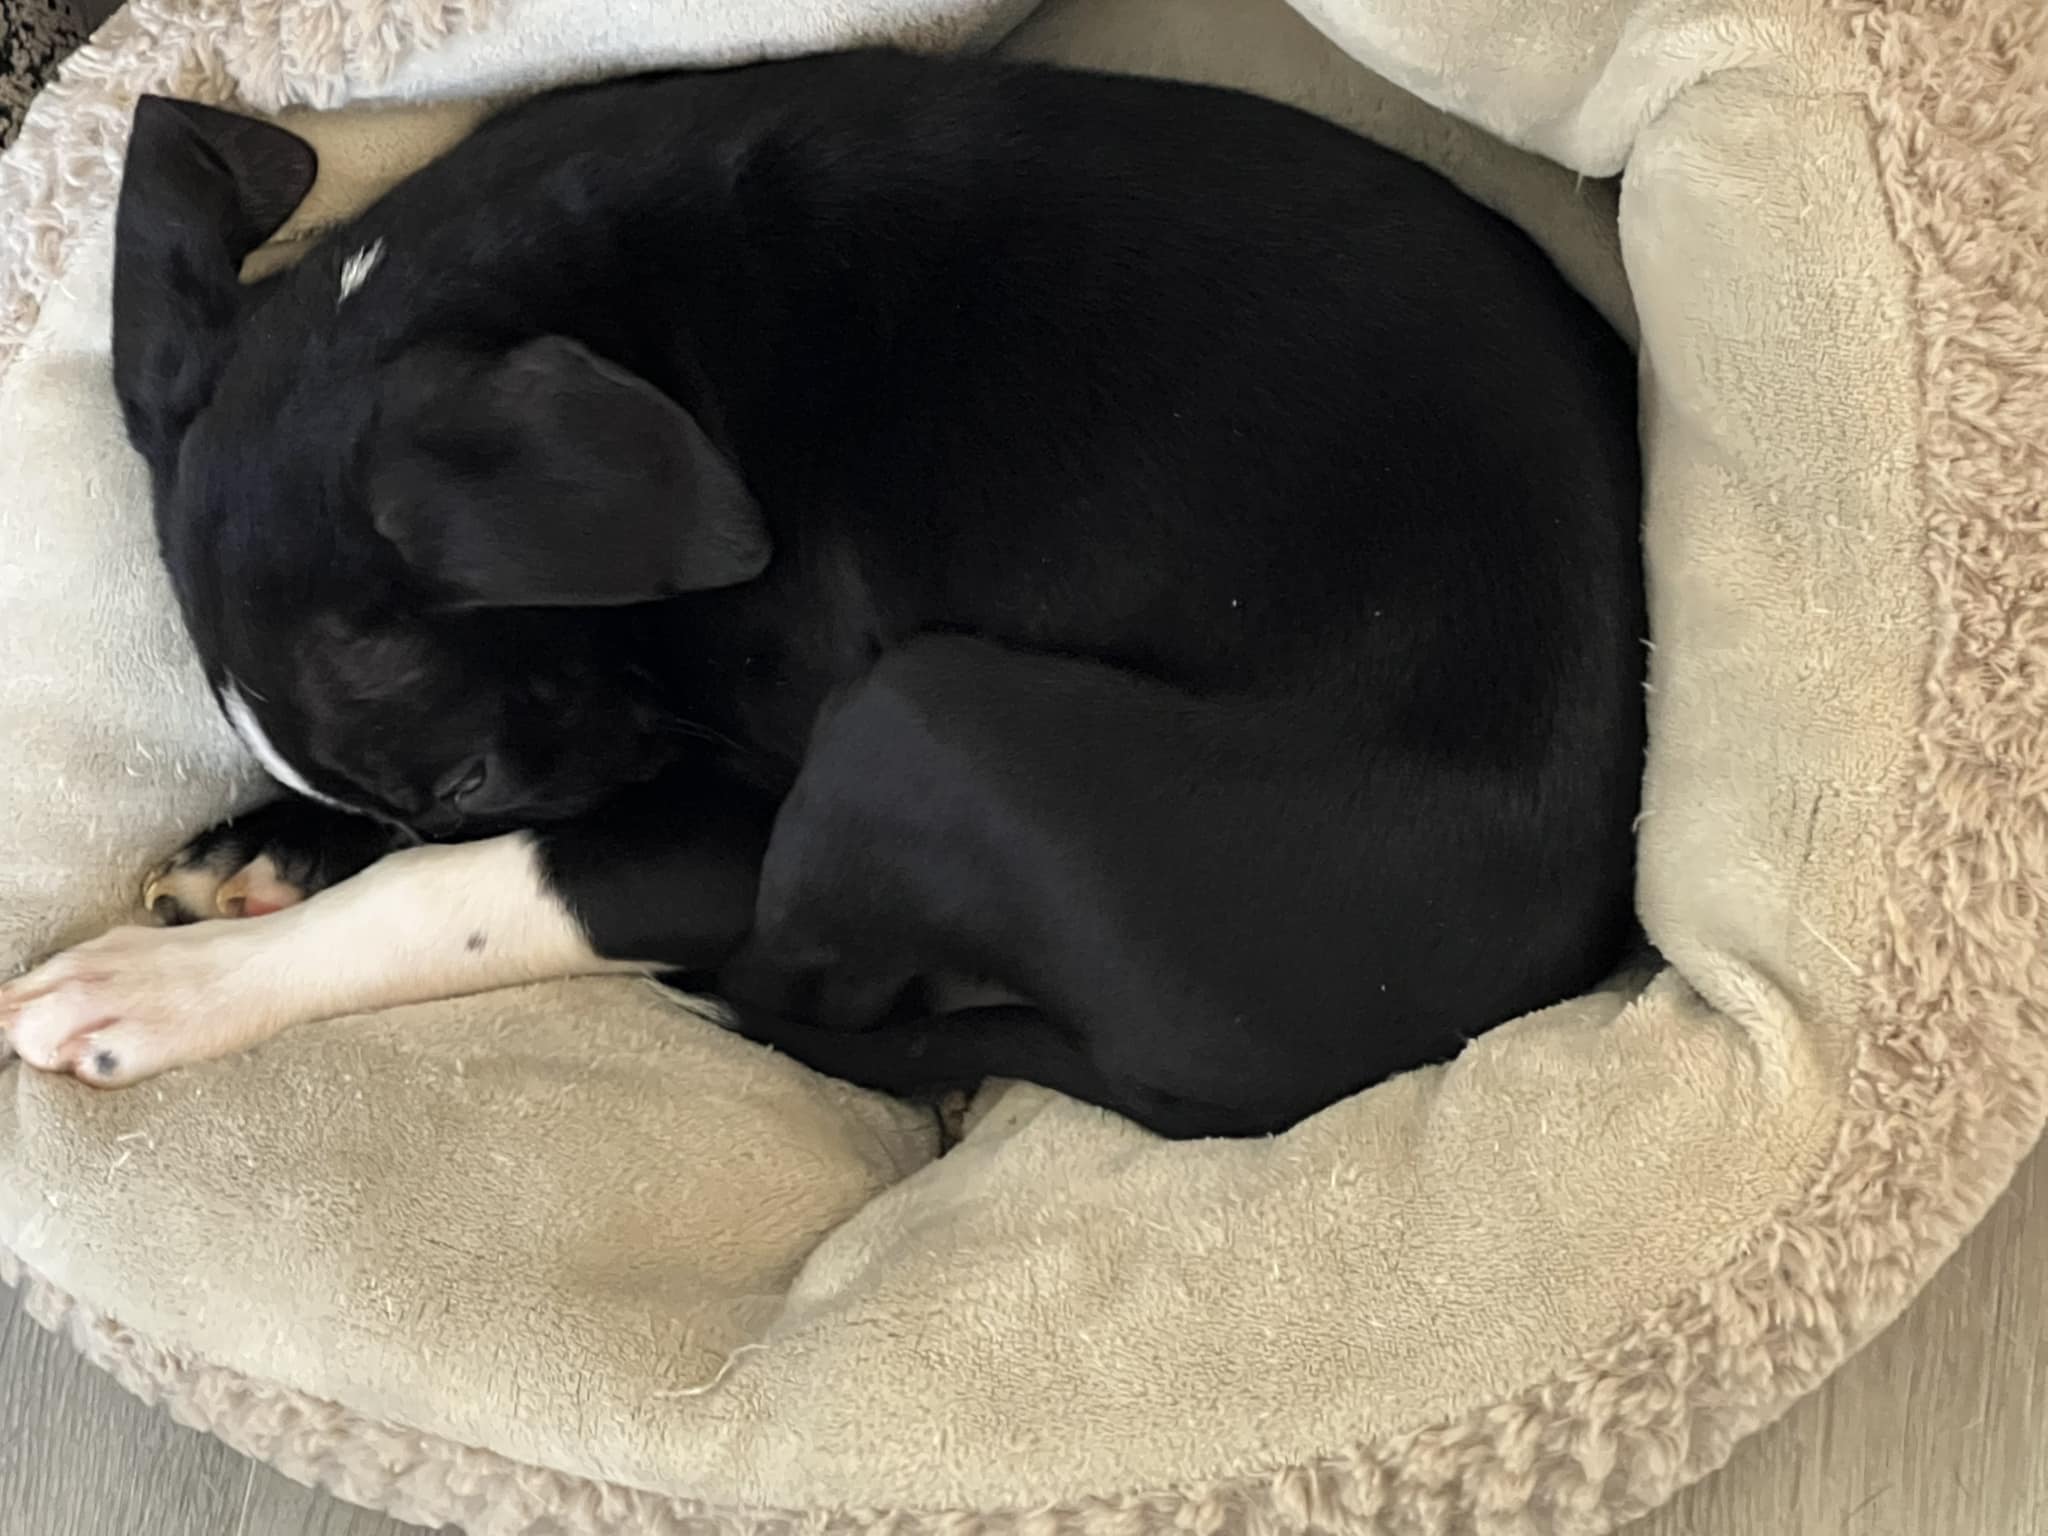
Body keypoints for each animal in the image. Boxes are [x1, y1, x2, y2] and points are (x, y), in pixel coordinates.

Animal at [0, 50, 1645, 1139]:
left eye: (467, 779)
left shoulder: (729, 818)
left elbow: (446, 896)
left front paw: (173, 990)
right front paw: (270, 847)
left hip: (920, 717)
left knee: (824, 999)